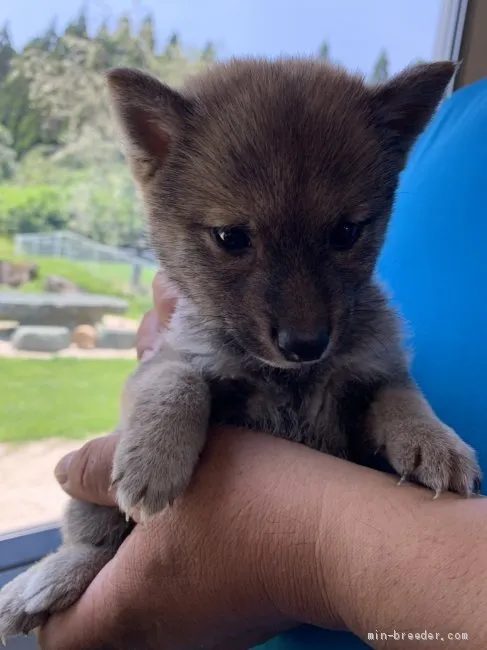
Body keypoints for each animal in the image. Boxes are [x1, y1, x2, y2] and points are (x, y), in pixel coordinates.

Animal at [0, 57, 480, 636]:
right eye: (231, 237)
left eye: (347, 232)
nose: (306, 344)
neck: (292, 379)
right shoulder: (167, 359)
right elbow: (179, 379)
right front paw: (155, 458)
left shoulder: (371, 378)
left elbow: (403, 396)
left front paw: (436, 443)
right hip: (88, 508)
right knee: (93, 546)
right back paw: (40, 585)